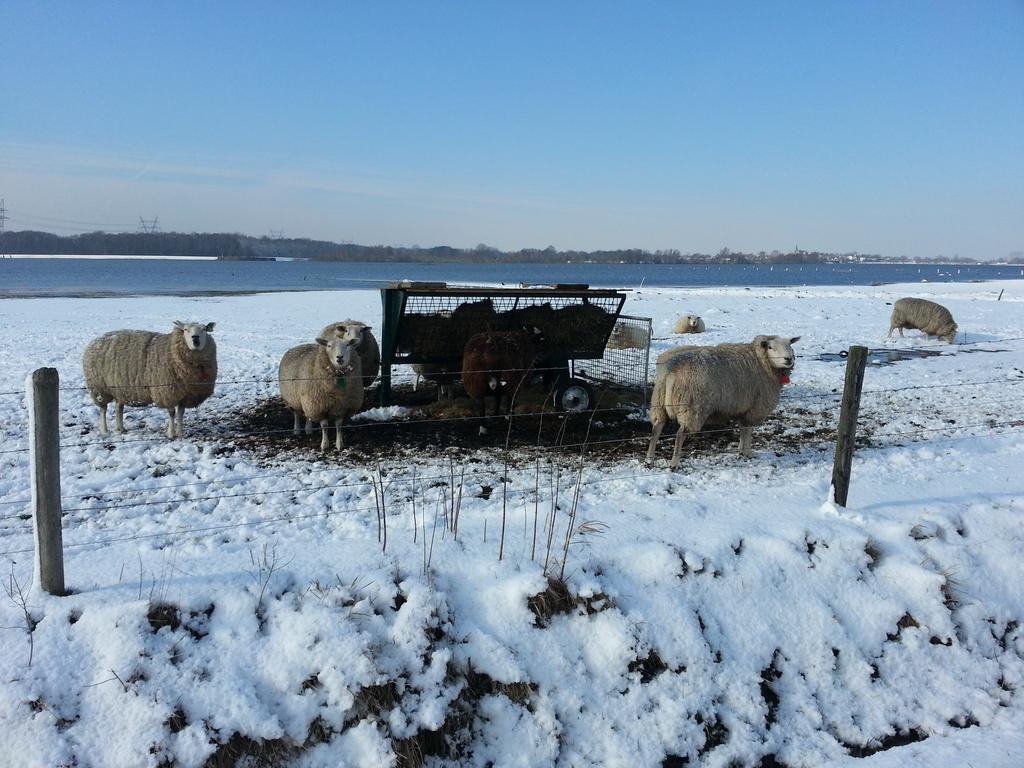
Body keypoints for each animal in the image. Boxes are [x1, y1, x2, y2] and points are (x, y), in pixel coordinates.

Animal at [83, 319, 218, 438]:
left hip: (120, 389)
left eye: (204, 329)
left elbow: (180, 414)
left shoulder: (185, 394)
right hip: (99, 388)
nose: (195, 339)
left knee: (118, 408)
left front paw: (180, 433)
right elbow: (172, 413)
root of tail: (95, 341)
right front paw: (171, 434)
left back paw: (120, 428)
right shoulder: (166, 392)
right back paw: (104, 430)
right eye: (185, 330)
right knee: (103, 409)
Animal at [647, 335, 798, 468]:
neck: (762, 363)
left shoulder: (742, 408)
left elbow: (742, 430)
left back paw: (649, 459)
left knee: (656, 429)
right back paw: (674, 464)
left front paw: (741, 451)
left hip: (659, 402)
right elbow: (748, 431)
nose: (788, 359)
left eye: (790, 346)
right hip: (692, 407)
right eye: (770, 347)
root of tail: (672, 370)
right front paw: (748, 453)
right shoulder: (755, 408)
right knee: (680, 434)